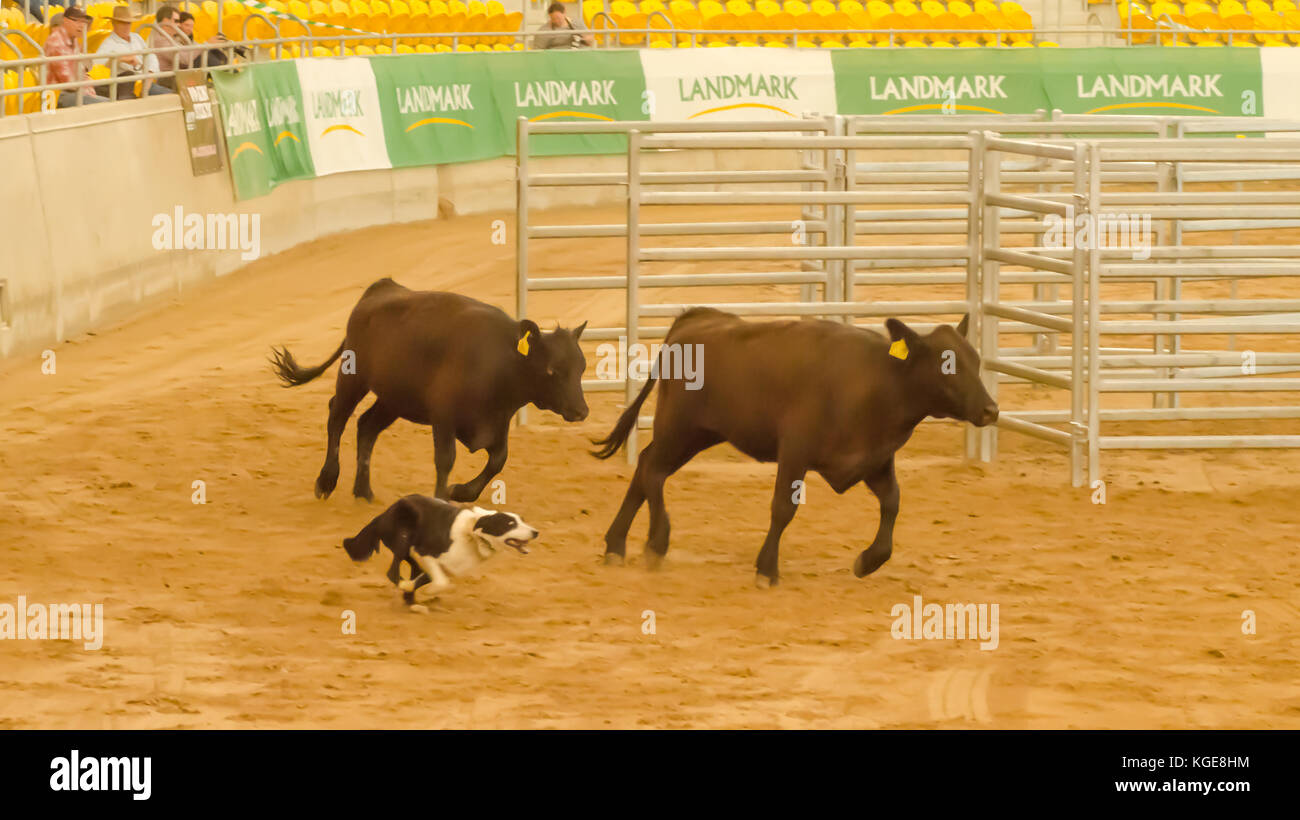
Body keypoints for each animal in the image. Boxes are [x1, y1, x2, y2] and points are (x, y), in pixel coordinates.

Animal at [274, 280, 590, 501]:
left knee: (367, 426)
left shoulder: (498, 421)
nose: (581, 411)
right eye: (552, 370)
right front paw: (443, 498)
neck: (499, 359)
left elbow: (498, 460)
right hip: (353, 377)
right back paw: (326, 479)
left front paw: (460, 492)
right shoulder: (444, 417)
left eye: (582, 368)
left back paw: (363, 490)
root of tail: (380, 288)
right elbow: (446, 459)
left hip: (394, 399)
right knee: (337, 418)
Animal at [343, 493, 540, 610]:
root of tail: (384, 514)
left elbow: (431, 580)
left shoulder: (443, 567)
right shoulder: (426, 553)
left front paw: (415, 593)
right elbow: (441, 582)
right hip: (404, 536)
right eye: (510, 524)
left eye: (522, 520)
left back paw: (412, 602)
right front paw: (422, 592)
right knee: (392, 571)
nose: (535, 532)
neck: (473, 534)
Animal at [595, 305, 998, 587]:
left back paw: (616, 545)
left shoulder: (875, 460)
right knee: (653, 471)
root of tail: (695, 320)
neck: (877, 382)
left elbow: (892, 503)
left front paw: (868, 561)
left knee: (646, 466)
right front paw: (766, 568)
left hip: (697, 434)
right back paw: (656, 542)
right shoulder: (794, 452)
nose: (991, 409)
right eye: (947, 364)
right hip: (678, 427)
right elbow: (783, 509)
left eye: (976, 360)